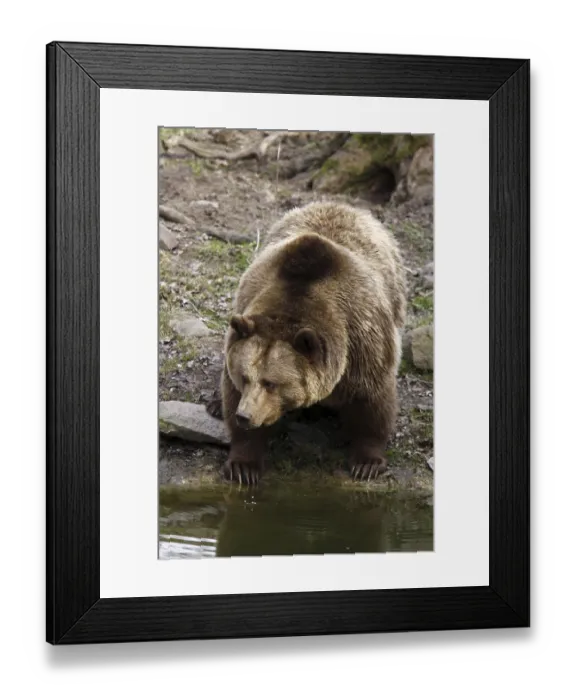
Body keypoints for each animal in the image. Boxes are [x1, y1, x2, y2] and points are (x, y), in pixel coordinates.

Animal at [209, 201, 407, 485]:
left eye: (271, 383)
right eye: (245, 377)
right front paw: (243, 466)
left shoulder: (363, 342)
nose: (244, 415)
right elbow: (232, 393)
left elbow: (373, 402)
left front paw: (367, 462)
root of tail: (340, 205)